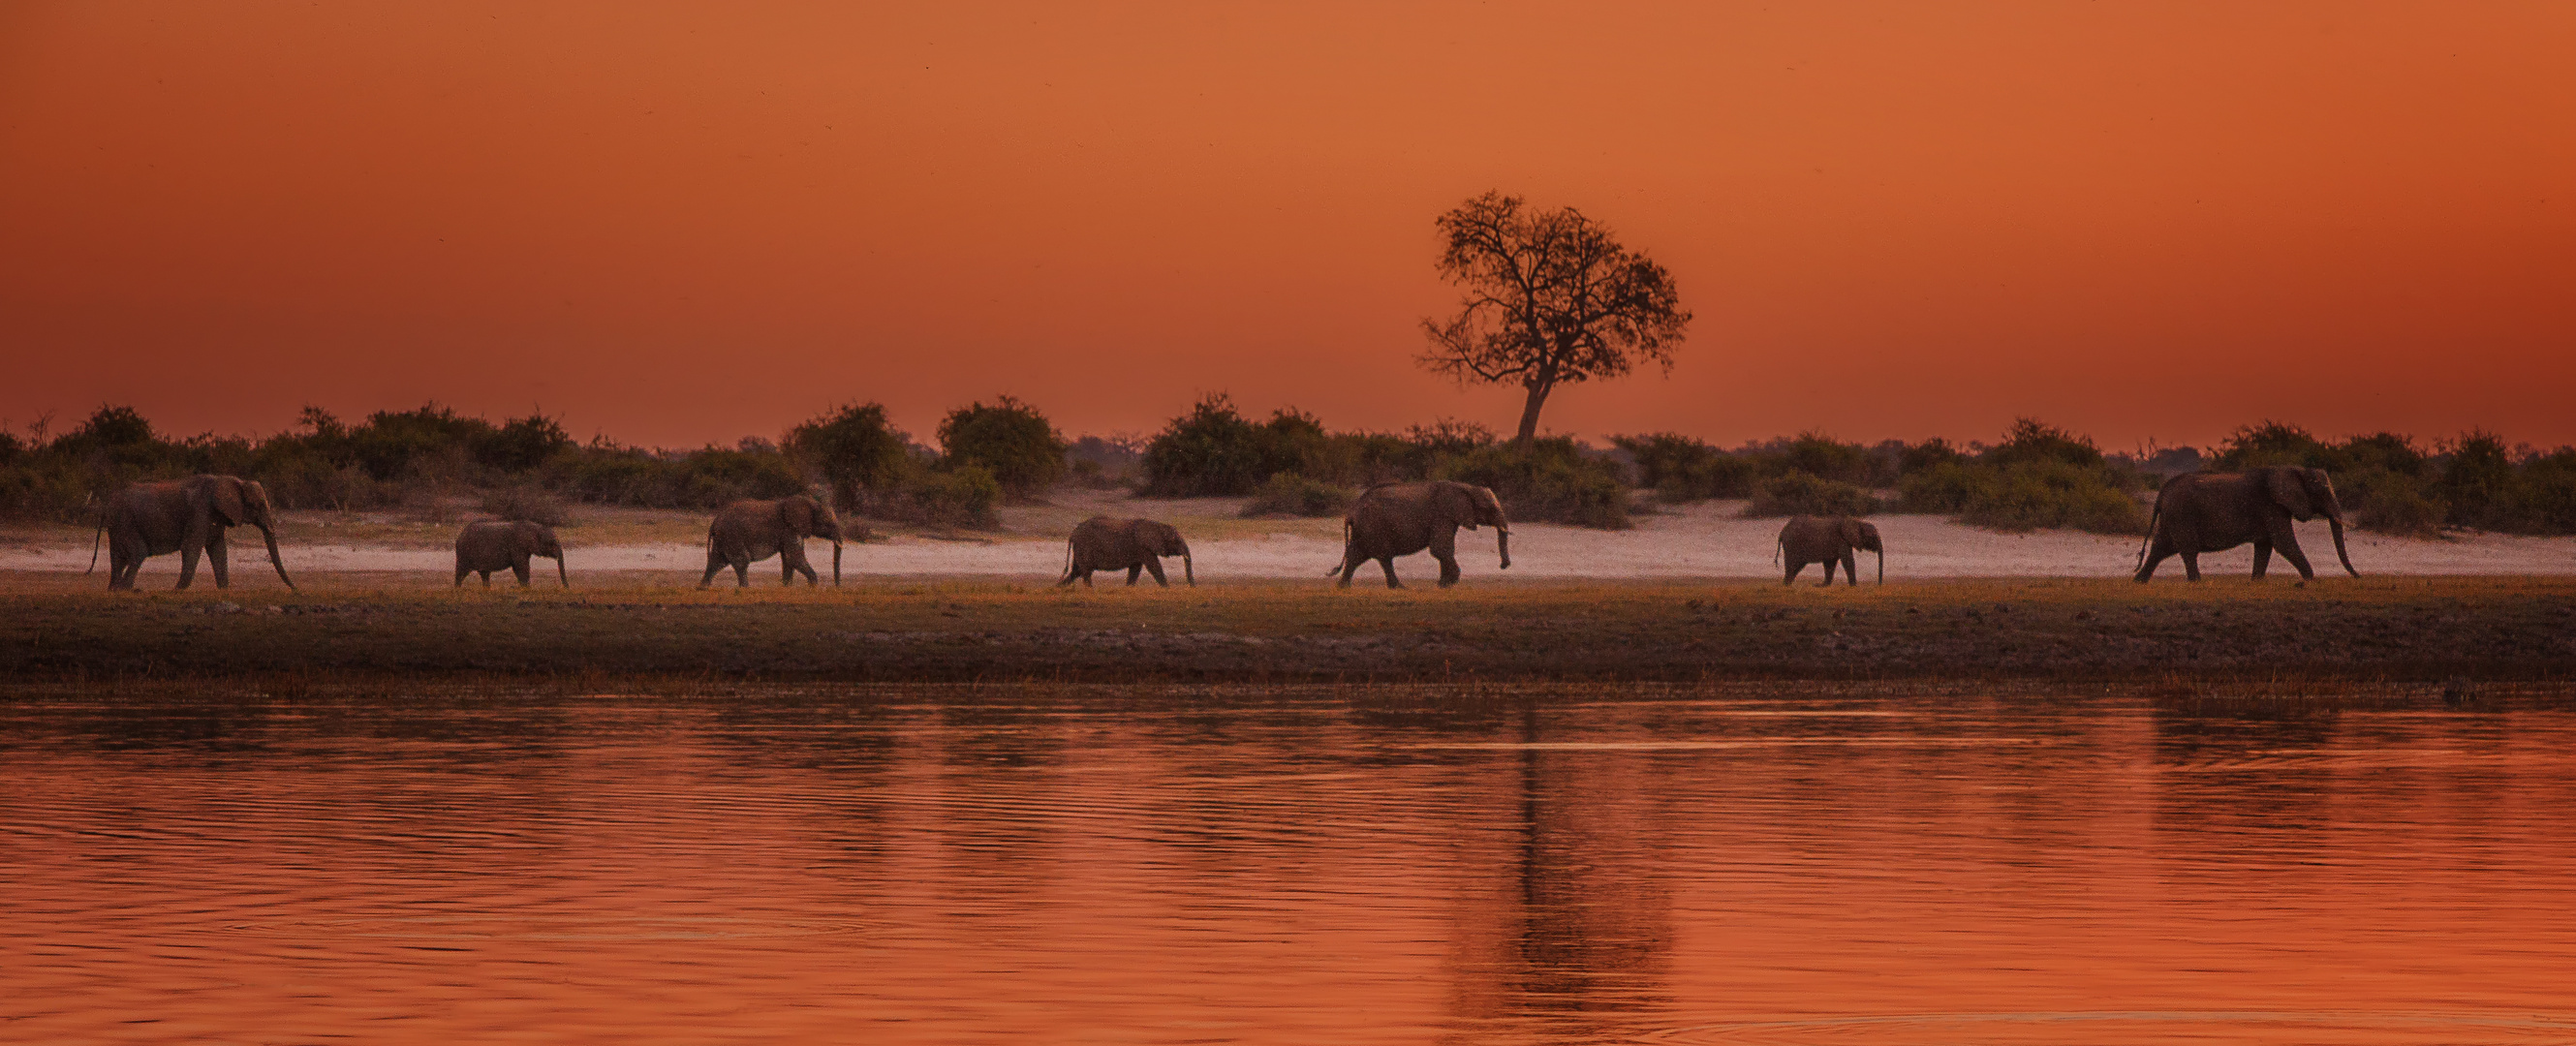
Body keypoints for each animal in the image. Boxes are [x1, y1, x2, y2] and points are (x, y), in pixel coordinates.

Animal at [87, 471, 295, 587]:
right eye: (259, 505)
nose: (296, 590)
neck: (231, 481)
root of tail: (106, 505)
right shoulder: (200, 511)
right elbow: (192, 548)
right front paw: (177, 592)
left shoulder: (214, 516)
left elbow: (218, 550)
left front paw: (224, 591)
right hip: (126, 523)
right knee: (138, 554)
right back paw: (127, 590)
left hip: (117, 526)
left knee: (119, 560)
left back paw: (115, 591)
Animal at [695, 492, 845, 587]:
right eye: (828, 523)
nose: (837, 587)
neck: (809, 502)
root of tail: (715, 521)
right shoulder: (790, 529)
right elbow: (793, 557)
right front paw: (813, 587)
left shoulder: (789, 531)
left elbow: (788, 560)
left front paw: (786, 588)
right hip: (732, 536)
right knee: (741, 561)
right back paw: (745, 589)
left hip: (723, 538)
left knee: (716, 561)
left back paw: (703, 588)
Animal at [1056, 517, 1195, 587]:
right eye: (1176, 541)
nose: (1192, 587)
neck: (1157, 525)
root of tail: (1073, 533)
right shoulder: (1143, 547)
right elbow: (1154, 567)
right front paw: (1167, 589)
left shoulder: (1139, 550)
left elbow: (1135, 569)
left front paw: (1128, 589)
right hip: (1084, 546)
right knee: (1086, 571)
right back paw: (1090, 590)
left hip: (1080, 548)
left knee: (1076, 571)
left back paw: (1059, 588)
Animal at [1329, 478, 1504, 587]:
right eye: (1491, 509)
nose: (1504, 565)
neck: (1466, 487)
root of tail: (1352, 510)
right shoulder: (1441, 515)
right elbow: (1440, 548)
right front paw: (1450, 583)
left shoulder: (1448, 517)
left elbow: (1443, 549)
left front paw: (1443, 585)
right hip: (1373, 526)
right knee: (1383, 556)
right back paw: (1400, 588)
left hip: (1364, 528)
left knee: (1357, 555)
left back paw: (1342, 587)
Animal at [2132, 469, 2359, 584]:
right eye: (2322, 492)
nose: (2359, 577)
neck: (2296, 470)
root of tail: (2161, 493)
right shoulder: (2272, 506)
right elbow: (2283, 543)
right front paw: (2309, 579)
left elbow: (2265, 546)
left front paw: (2256, 582)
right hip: (2182, 514)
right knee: (2187, 550)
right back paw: (2196, 582)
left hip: (2172, 516)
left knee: (2160, 548)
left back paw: (2139, 581)